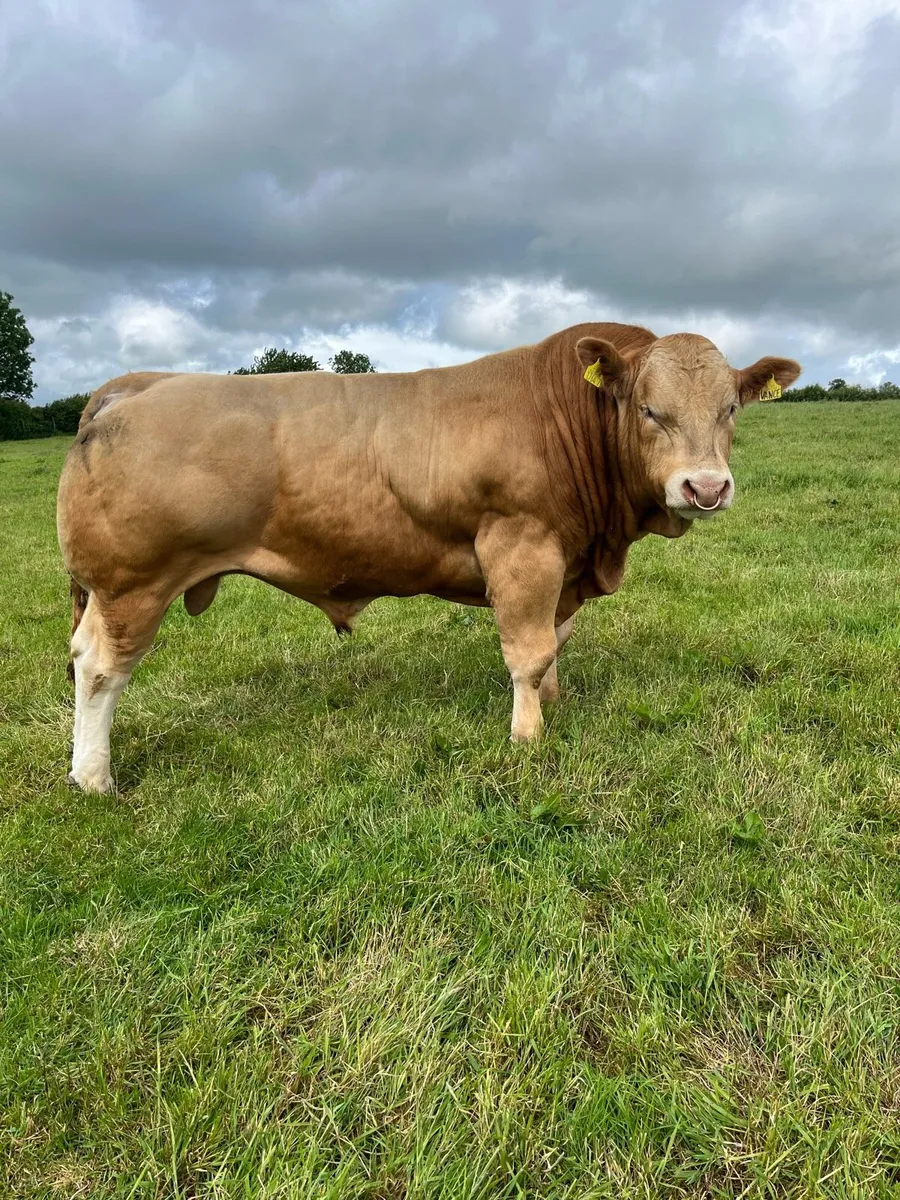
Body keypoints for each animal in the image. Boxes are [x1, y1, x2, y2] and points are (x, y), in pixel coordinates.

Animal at [57, 323, 801, 793]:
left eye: (731, 408)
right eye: (648, 409)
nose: (705, 488)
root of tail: (136, 384)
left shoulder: (564, 562)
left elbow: (555, 643)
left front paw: (553, 703)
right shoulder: (521, 546)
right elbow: (528, 651)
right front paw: (527, 737)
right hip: (131, 583)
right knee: (99, 670)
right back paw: (94, 778)